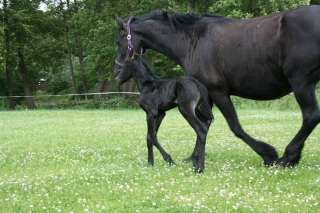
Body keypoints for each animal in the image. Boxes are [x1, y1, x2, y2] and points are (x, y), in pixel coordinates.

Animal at [114, 5, 320, 167]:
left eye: (119, 40)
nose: (116, 70)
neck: (192, 40)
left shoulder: (218, 91)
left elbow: (234, 126)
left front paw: (268, 154)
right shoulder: (206, 95)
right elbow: (205, 123)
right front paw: (194, 157)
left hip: (301, 82)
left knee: (311, 116)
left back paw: (288, 157)